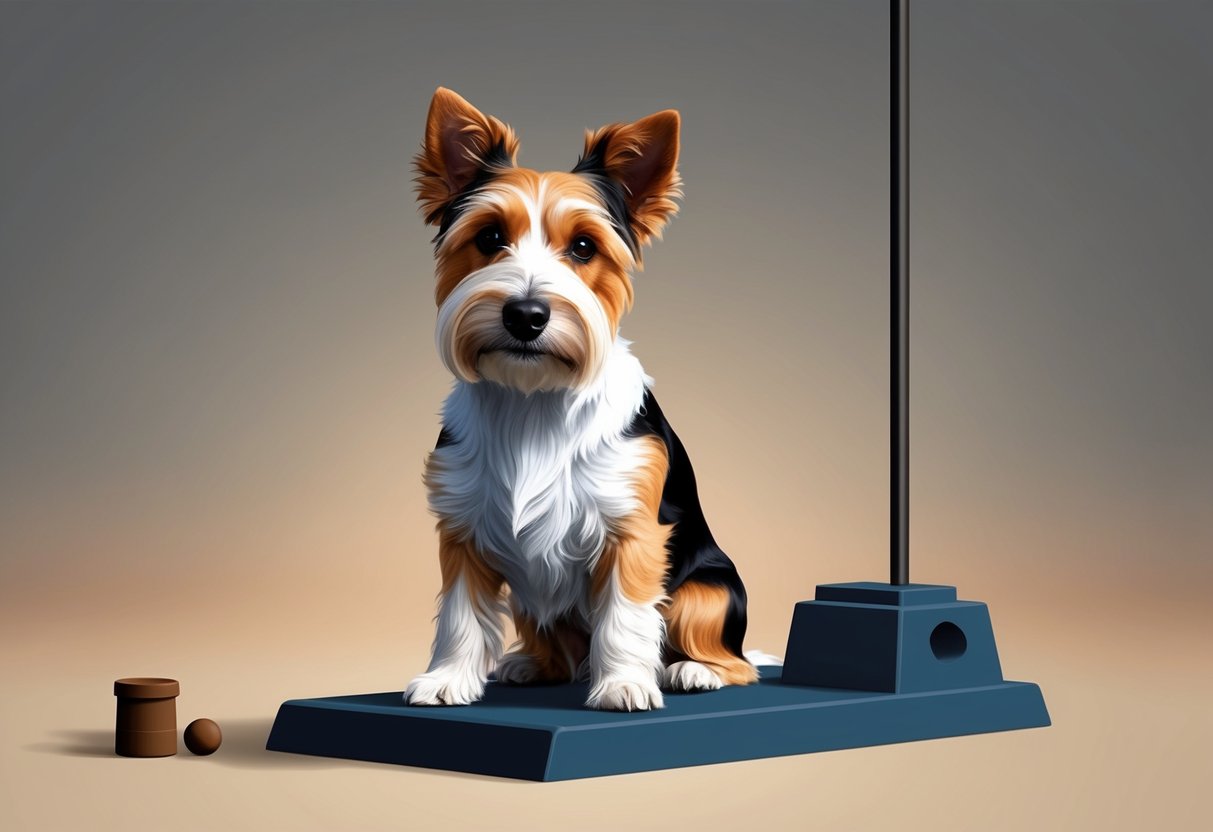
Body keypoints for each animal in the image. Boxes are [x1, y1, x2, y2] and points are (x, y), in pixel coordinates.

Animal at [412, 89, 761, 717]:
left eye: (583, 246)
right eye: (489, 238)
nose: (526, 315)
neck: (534, 398)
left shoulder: (633, 530)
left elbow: (625, 612)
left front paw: (623, 684)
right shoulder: (465, 526)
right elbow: (460, 612)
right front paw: (447, 678)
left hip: (708, 592)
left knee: (737, 660)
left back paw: (694, 670)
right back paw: (533, 665)